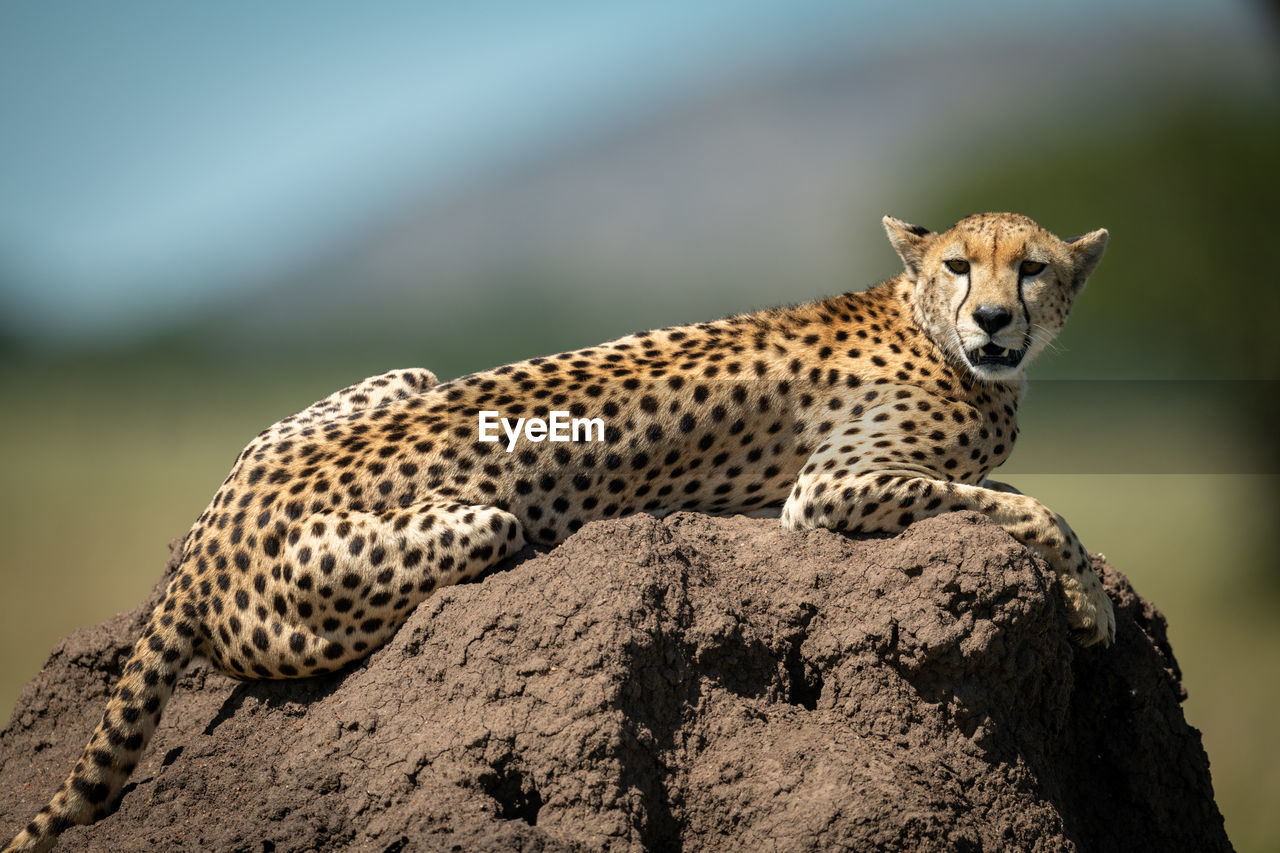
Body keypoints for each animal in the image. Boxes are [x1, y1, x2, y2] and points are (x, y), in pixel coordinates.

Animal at [5, 212, 1111, 850]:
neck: (922, 320)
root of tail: (199, 548)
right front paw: (1089, 602)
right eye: (961, 265)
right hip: (467, 530)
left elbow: (1015, 490)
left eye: (1033, 268)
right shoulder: (830, 490)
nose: (994, 321)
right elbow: (1028, 503)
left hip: (401, 378)